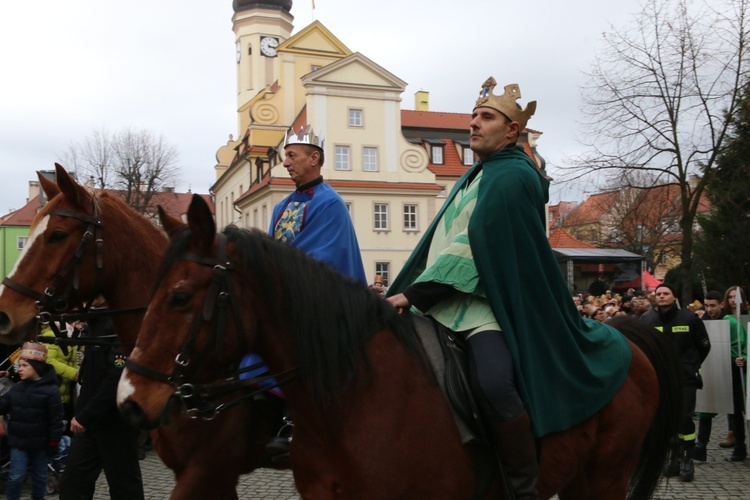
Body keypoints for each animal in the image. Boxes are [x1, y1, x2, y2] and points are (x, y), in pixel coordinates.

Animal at [119, 194, 688, 500]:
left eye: (180, 296)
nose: (130, 402)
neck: (350, 399)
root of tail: (625, 336)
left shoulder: (207, 469)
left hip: (605, 478)